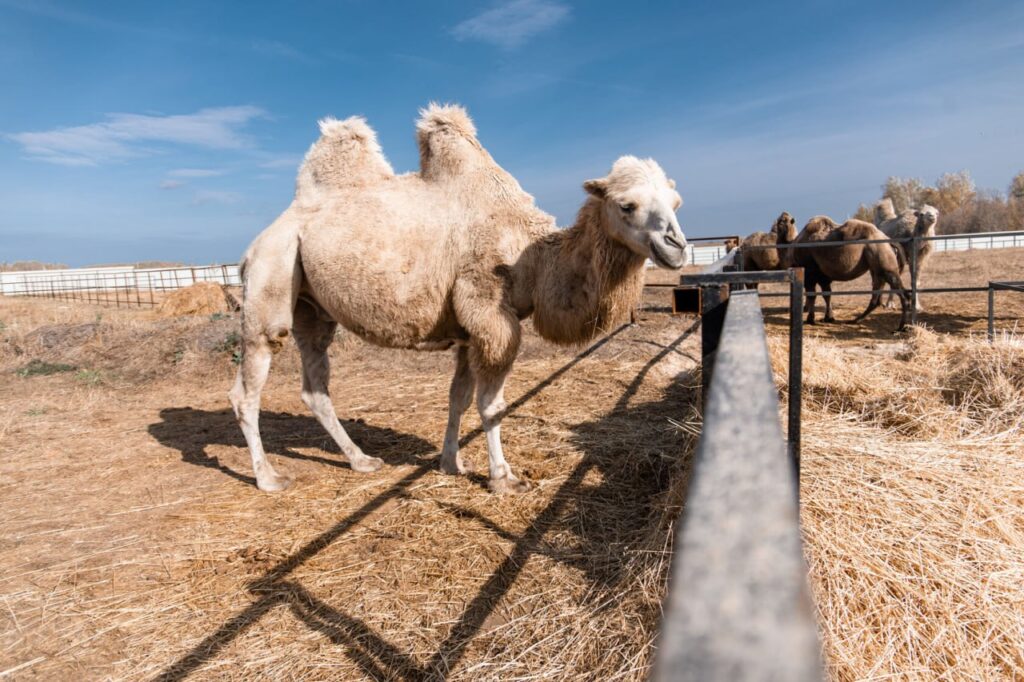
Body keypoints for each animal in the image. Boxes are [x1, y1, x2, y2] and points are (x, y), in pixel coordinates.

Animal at [232, 103, 688, 491]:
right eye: (626, 205)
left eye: (677, 202)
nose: (677, 247)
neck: (533, 255)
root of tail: (260, 240)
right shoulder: (492, 316)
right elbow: (491, 405)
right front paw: (503, 478)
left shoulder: (471, 332)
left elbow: (459, 400)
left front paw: (451, 463)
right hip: (271, 271)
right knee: (248, 385)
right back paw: (269, 478)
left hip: (312, 306)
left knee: (315, 385)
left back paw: (361, 460)